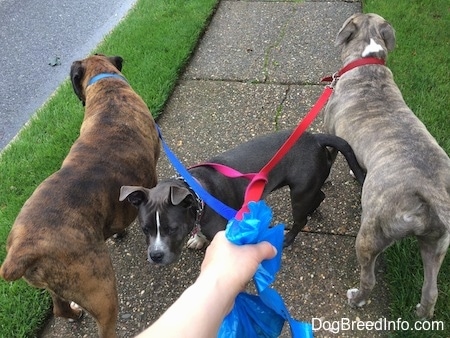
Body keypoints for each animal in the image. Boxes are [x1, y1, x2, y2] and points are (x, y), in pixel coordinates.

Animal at [0, 54, 160, 336]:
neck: (107, 89)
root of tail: (22, 249)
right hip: (102, 291)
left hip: (58, 286)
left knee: (60, 308)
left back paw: (74, 314)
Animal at [326, 13, 448, 320]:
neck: (367, 60)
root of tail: (430, 197)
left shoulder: (329, 131)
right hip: (436, 244)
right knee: (431, 290)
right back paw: (422, 315)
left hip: (371, 233)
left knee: (368, 277)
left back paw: (356, 299)